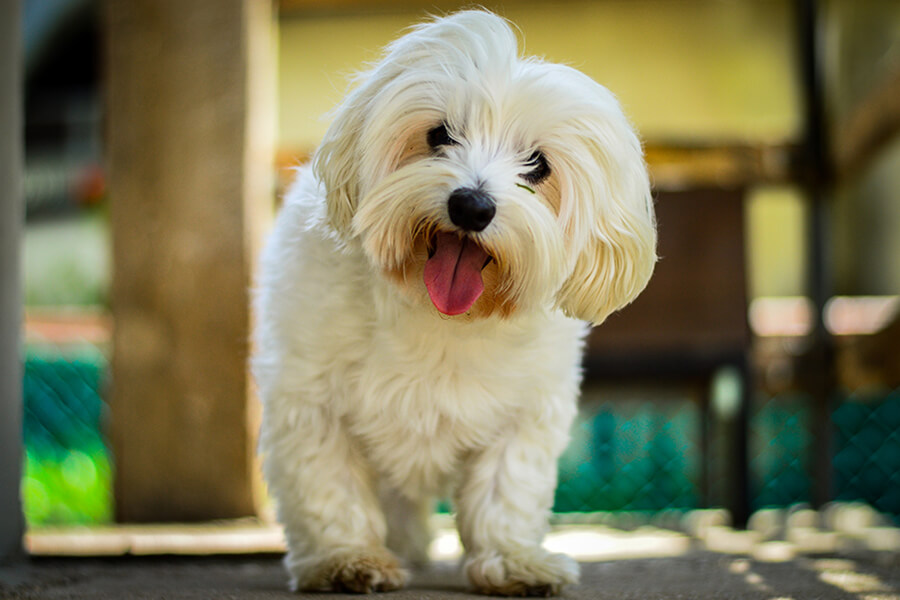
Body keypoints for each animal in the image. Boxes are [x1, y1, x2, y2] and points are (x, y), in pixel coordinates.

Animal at [251, 9, 652, 596]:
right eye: (439, 135)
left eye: (537, 164)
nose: (472, 205)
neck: (439, 317)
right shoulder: (309, 399)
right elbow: (328, 486)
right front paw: (345, 558)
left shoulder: (526, 411)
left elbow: (508, 488)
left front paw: (512, 559)